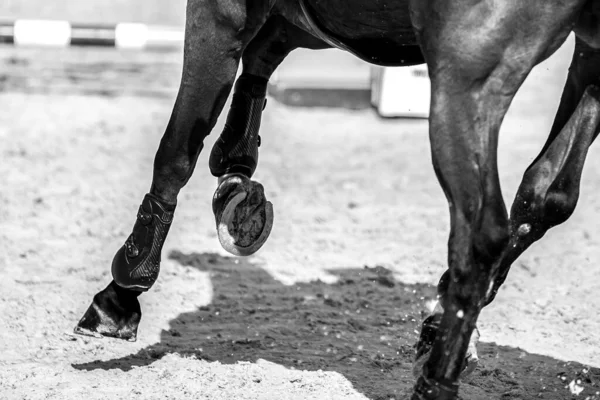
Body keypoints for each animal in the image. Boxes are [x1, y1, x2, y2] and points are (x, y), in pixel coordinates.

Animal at [74, 1, 600, 398]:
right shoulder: (330, 22)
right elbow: (263, 56)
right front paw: (236, 181)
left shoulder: (222, 11)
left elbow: (177, 150)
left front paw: (121, 294)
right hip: (581, 61)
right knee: (543, 197)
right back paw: (439, 333)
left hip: (468, 75)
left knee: (481, 234)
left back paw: (434, 378)